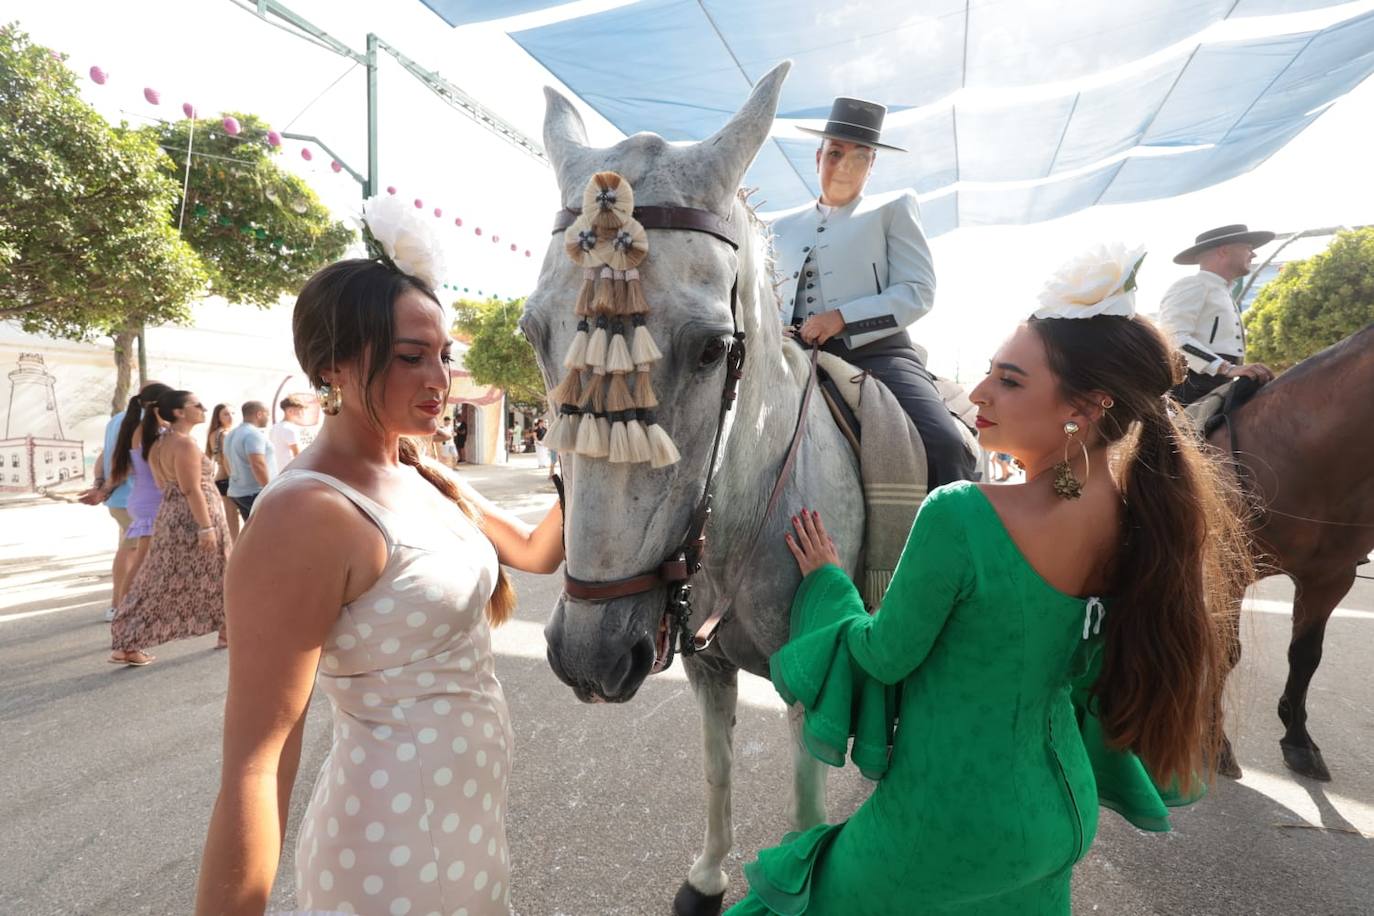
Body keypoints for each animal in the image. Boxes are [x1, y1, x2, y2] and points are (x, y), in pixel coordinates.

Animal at [519, 60, 862, 911]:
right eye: (532, 334)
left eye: (712, 349)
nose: (592, 656)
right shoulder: (708, 668)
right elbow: (715, 769)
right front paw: (707, 878)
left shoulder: (813, 680)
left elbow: (806, 803)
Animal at [1214, 322, 1374, 780]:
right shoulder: (1226, 570)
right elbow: (1225, 651)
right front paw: (1214, 743)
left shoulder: (1331, 578)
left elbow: (1305, 657)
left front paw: (1298, 740)